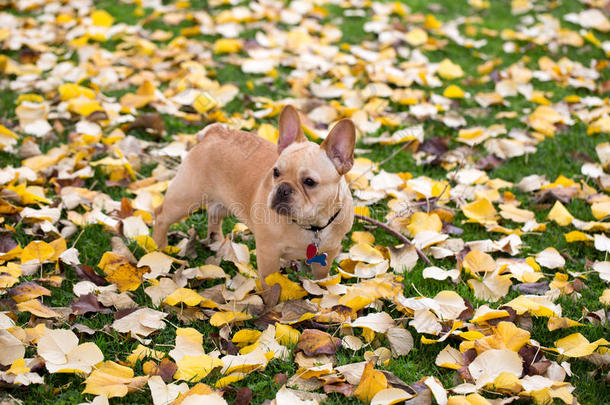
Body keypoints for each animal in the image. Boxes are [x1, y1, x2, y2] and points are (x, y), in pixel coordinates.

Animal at [152, 105, 356, 302]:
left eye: (309, 182)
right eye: (276, 172)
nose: (282, 189)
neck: (311, 226)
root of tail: (214, 132)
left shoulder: (328, 253)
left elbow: (322, 278)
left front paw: (322, 293)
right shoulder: (268, 254)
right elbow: (271, 283)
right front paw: (272, 306)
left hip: (227, 203)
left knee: (214, 214)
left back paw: (218, 243)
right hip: (186, 197)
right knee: (161, 215)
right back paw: (160, 247)